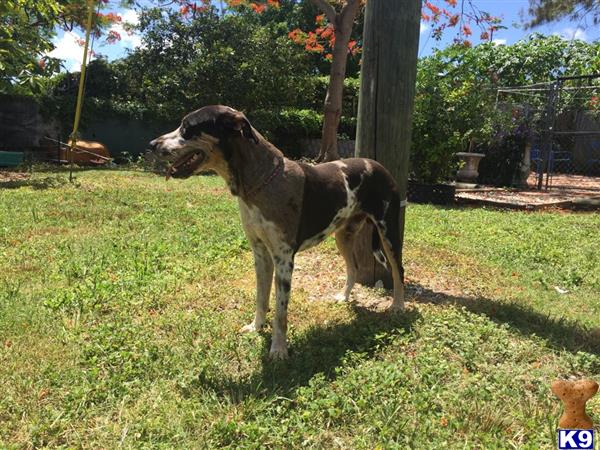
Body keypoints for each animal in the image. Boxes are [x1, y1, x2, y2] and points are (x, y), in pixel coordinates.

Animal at [148, 105, 406, 358]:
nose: (152, 144)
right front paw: (256, 327)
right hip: (343, 235)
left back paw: (398, 306)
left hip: (388, 232)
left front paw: (278, 350)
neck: (260, 183)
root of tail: (379, 166)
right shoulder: (260, 253)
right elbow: (261, 297)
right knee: (353, 267)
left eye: (187, 127)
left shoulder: (283, 258)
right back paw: (344, 297)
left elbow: (280, 311)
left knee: (398, 270)